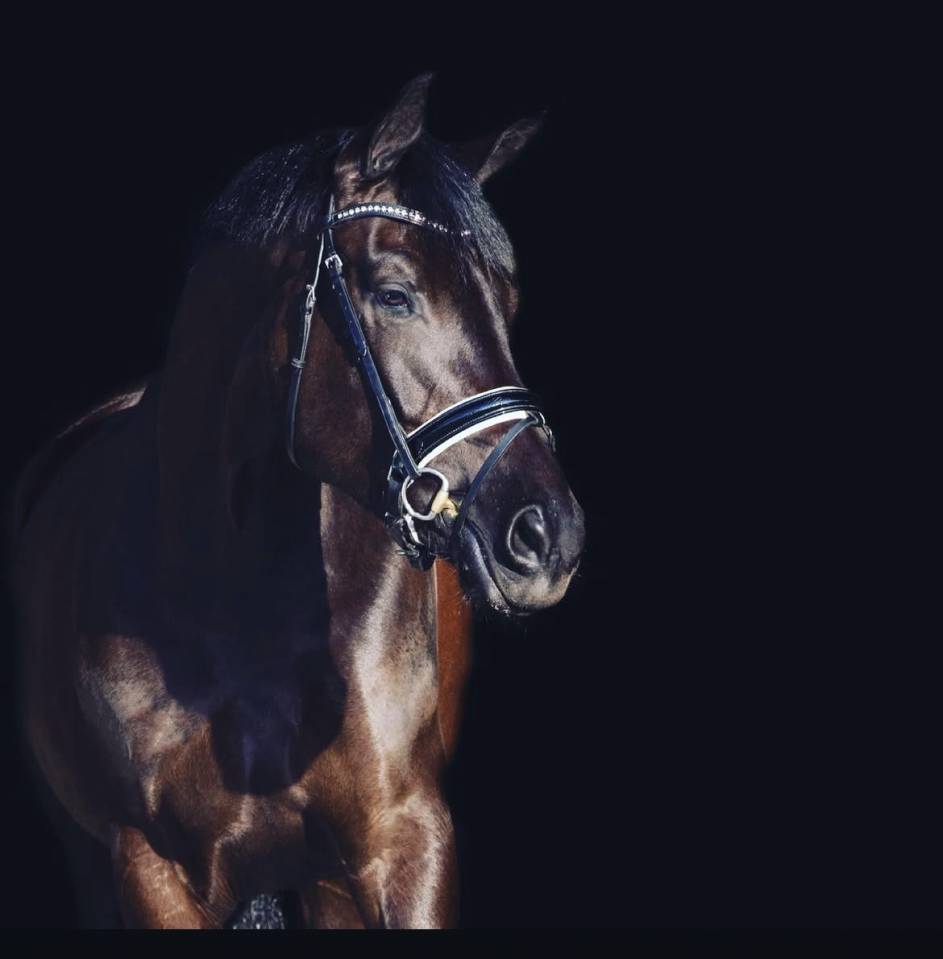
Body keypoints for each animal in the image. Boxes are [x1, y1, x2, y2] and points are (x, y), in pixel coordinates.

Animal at [10, 73, 585, 929]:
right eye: (394, 294)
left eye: (506, 301)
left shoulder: (404, 845)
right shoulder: (149, 869)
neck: (234, 599)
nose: (548, 537)